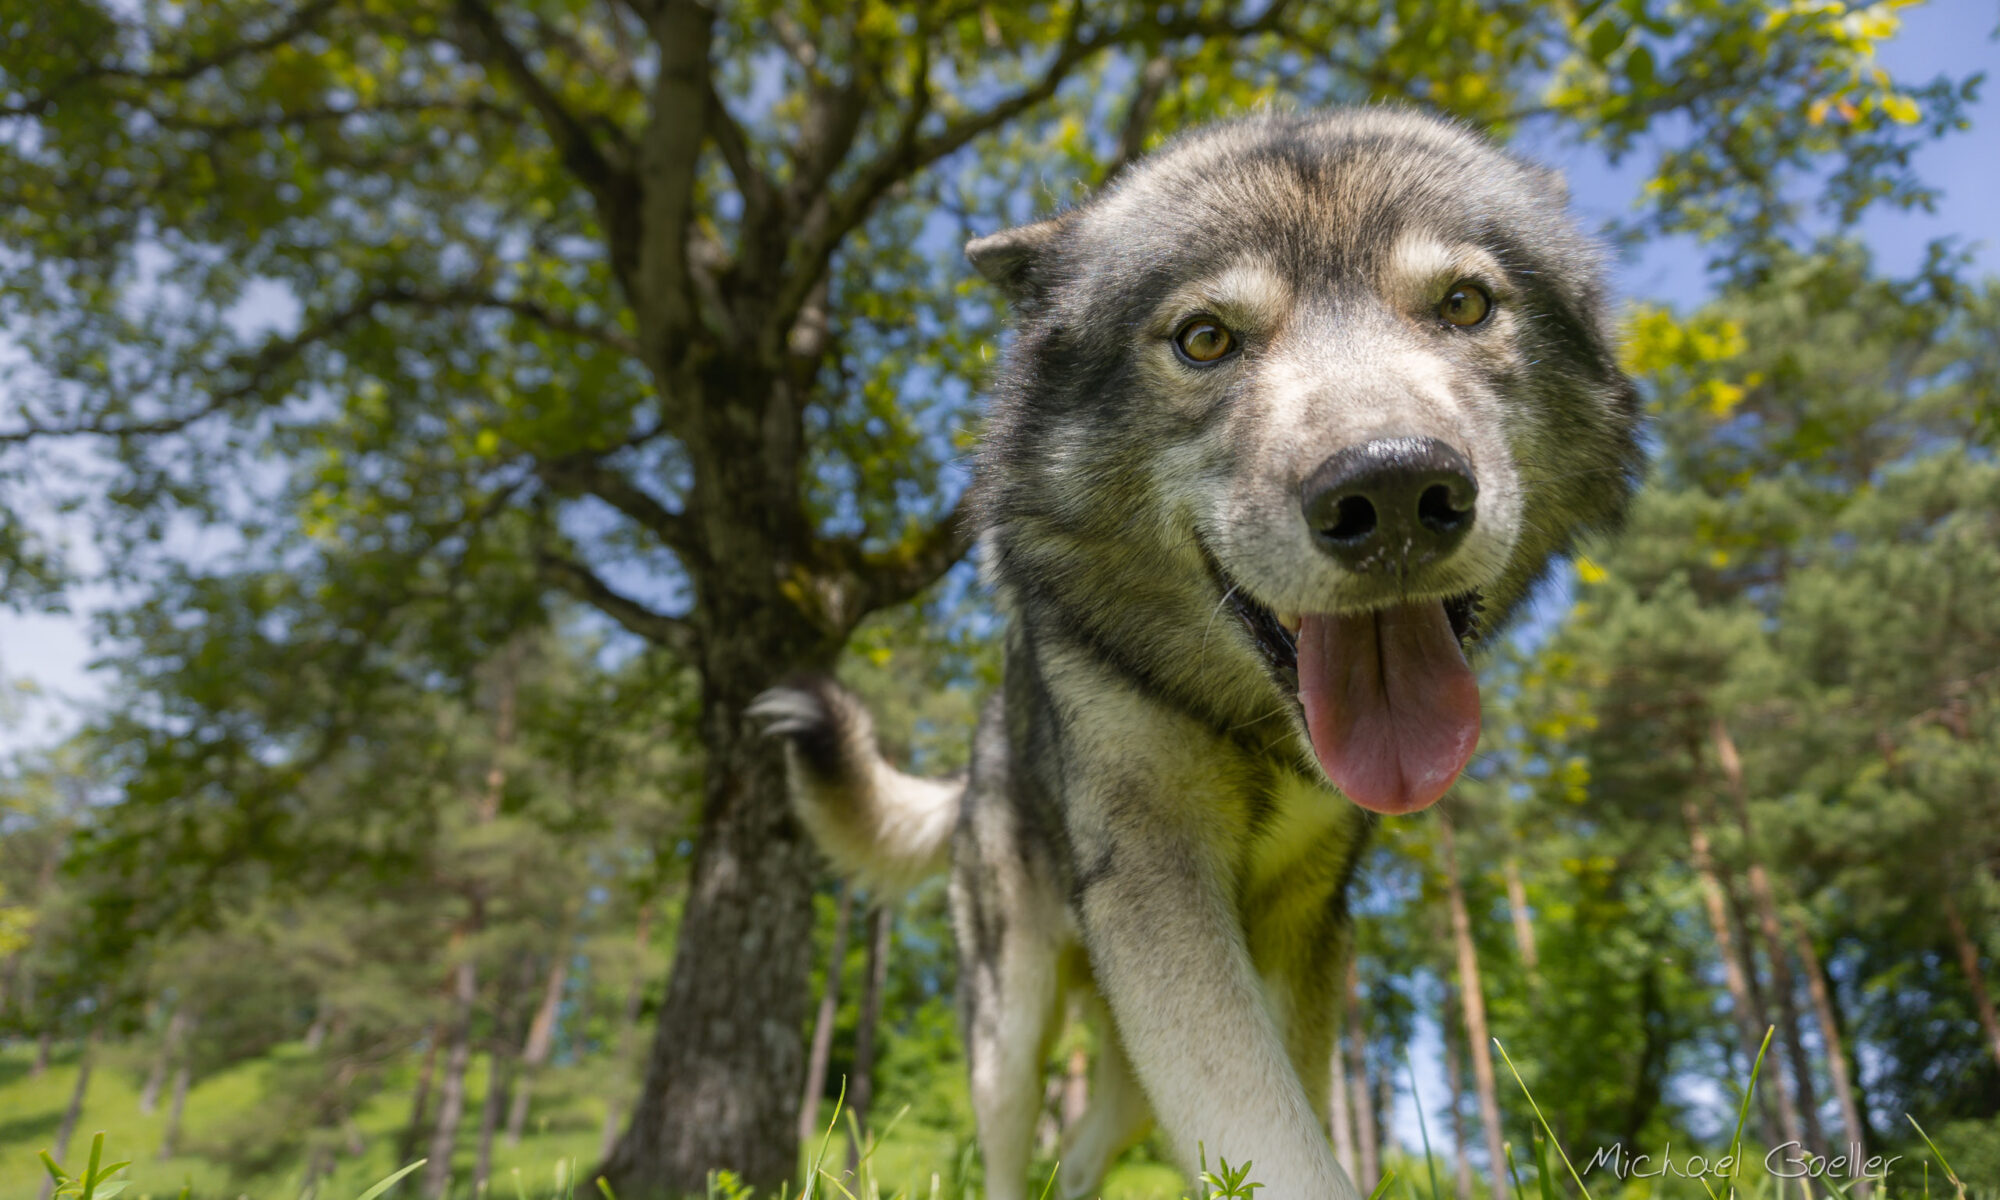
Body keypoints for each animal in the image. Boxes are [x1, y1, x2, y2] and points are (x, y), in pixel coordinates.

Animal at [752, 110, 1640, 1200]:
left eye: (1464, 304)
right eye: (1205, 338)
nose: (1391, 491)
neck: (1250, 729)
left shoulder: (1305, 924)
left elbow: (1281, 1119)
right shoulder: (1156, 886)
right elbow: (1275, 1137)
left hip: (1126, 1059)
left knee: (1085, 1152)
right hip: (1012, 1029)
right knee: (1008, 1153)